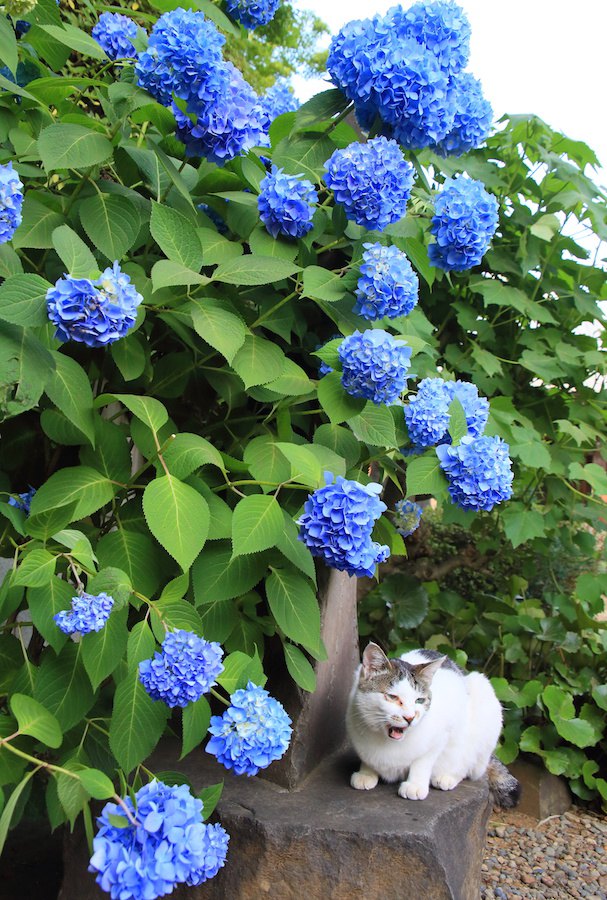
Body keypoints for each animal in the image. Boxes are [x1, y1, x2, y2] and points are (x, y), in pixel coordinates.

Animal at [350, 640, 520, 808]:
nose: (410, 717)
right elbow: (367, 757)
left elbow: (423, 760)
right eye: (392, 697)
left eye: (419, 700)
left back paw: (447, 777)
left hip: (484, 697)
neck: (388, 743)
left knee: (469, 765)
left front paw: (415, 785)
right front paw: (366, 772)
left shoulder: (442, 735)